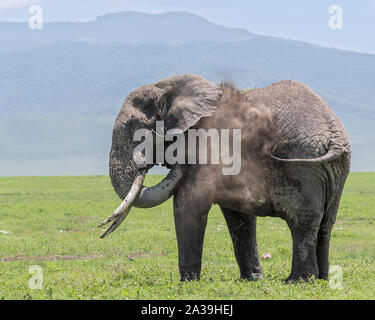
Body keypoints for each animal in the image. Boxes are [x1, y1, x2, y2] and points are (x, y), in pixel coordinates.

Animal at [100, 74, 352, 282]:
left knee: (302, 222)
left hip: (303, 166)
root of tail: (333, 136)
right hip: (336, 170)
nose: (142, 162)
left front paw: (188, 283)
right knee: (325, 224)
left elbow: (189, 204)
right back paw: (321, 279)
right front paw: (252, 280)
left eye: (136, 129)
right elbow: (238, 217)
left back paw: (297, 281)